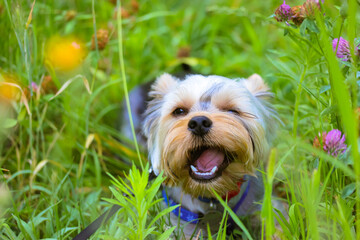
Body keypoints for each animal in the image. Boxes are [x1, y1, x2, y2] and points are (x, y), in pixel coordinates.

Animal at [122, 73, 278, 238]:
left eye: (232, 111)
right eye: (179, 111)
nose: (198, 122)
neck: (210, 195)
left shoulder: (263, 205)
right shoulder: (180, 221)